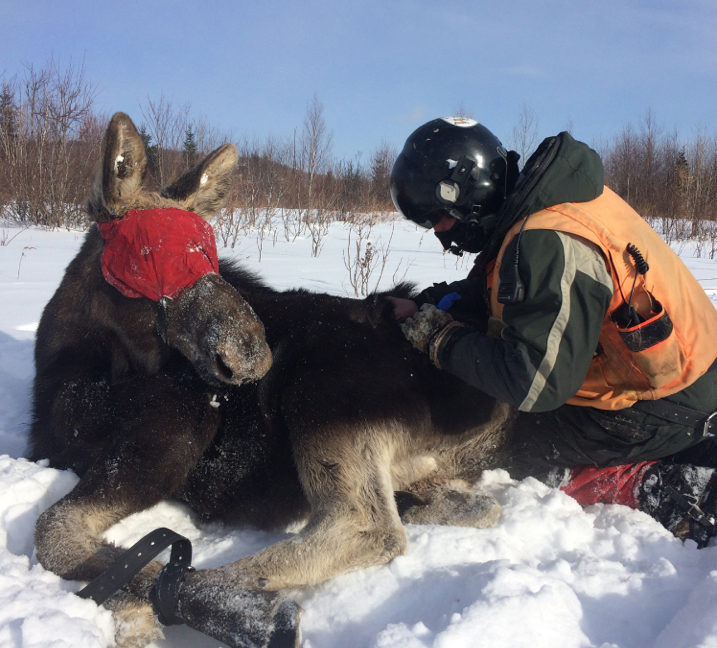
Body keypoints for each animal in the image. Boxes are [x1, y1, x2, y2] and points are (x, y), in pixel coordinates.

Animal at [29, 114, 516, 648]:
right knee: (475, 506)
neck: (71, 360)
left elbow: (54, 532)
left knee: (368, 528)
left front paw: (150, 608)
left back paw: (231, 607)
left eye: (209, 253)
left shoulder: (179, 419)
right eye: (149, 254)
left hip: (321, 393)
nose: (250, 352)